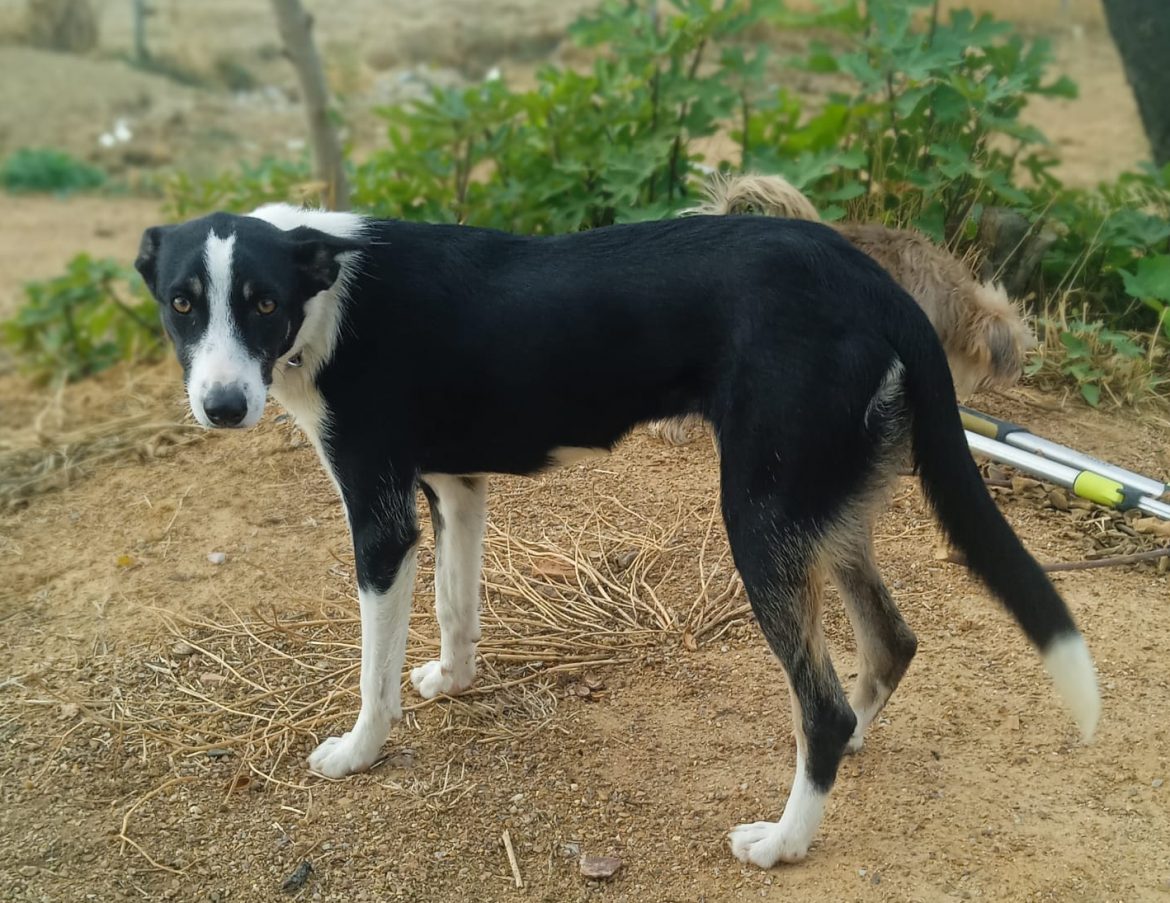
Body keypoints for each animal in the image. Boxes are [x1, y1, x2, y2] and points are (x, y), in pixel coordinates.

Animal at [134, 204, 1098, 869]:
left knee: (817, 701)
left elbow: (373, 672)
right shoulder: (456, 489)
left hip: (761, 521)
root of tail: (880, 285)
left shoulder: (379, 520)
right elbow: (456, 608)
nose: (223, 406)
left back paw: (784, 839)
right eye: (182, 304)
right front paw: (453, 679)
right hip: (821, 511)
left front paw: (357, 751)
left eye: (260, 304)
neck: (328, 294)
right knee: (890, 641)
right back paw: (853, 738)